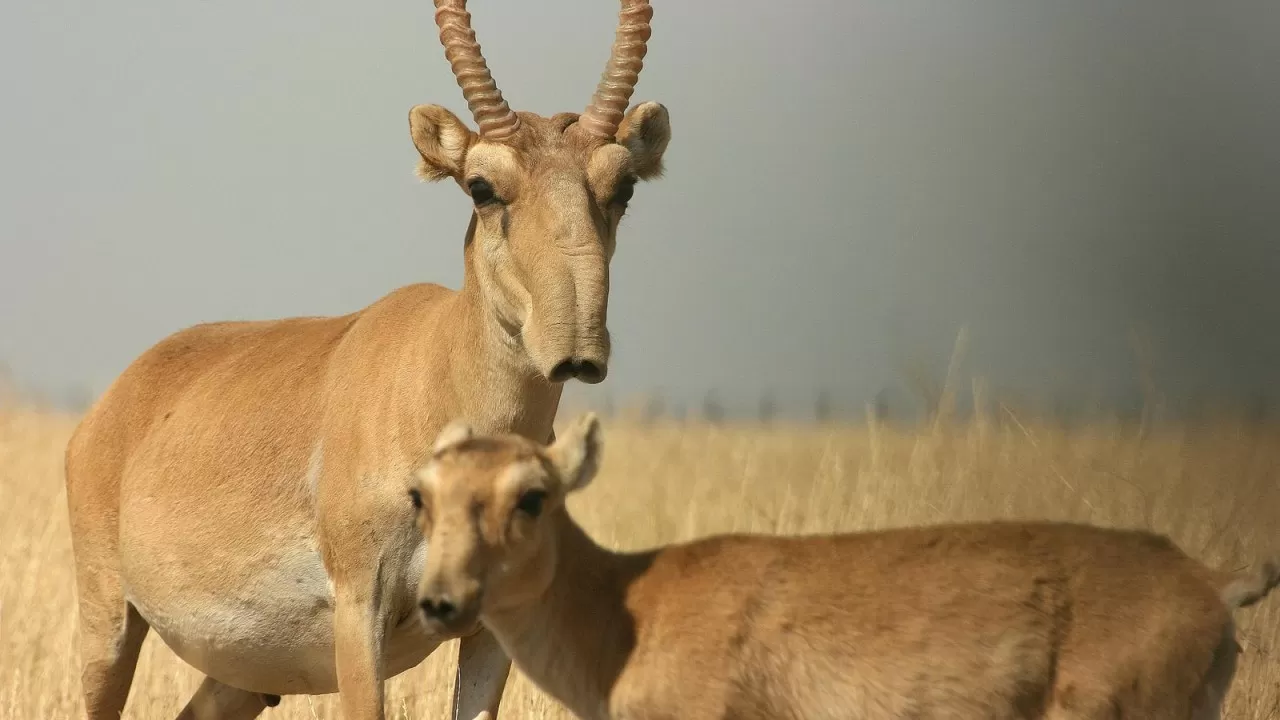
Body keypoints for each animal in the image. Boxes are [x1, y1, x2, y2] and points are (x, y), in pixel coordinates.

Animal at [62, 2, 670, 712]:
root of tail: (112, 405)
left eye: (623, 186)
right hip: (109, 628)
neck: (435, 368)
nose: (575, 346)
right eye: (481, 186)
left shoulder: (491, 630)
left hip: (241, 679)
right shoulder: (360, 613)